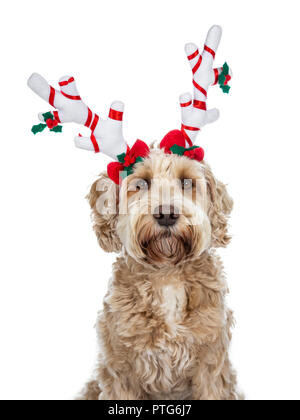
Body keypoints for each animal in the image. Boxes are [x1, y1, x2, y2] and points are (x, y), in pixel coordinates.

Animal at [78, 148, 244, 400]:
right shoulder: (120, 371)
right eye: (142, 183)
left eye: (186, 181)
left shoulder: (211, 365)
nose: (166, 214)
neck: (166, 274)